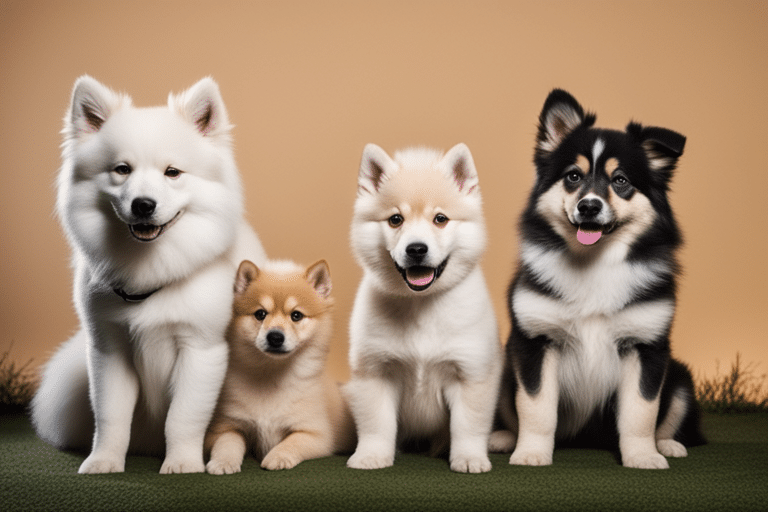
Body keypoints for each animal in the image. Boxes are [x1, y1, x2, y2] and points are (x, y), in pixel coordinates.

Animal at [202, 258, 356, 474]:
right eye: (260, 314)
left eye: (296, 315)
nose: (275, 337)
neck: (272, 375)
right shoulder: (224, 427)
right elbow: (228, 442)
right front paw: (223, 461)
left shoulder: (316, 435)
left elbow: (291, 442)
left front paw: (277, 456)